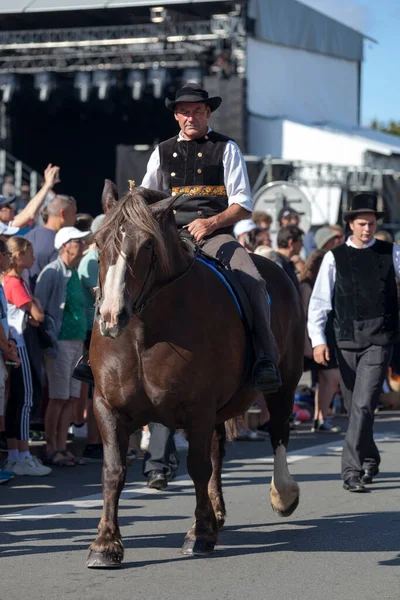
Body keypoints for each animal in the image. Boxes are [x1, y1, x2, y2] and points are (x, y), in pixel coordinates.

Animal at [86, 182, 304, 568]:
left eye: (147, 244)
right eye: (98, 241)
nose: (111, 317)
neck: (146, 332)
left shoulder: (198, 408)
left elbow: (198, 467)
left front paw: (198, 534)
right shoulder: (107, 407)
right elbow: (113, 471)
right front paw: (105, 543)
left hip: (284, 384)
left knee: (277, 431)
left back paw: (282, 494)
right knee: (219, 450)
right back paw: (217, 514)